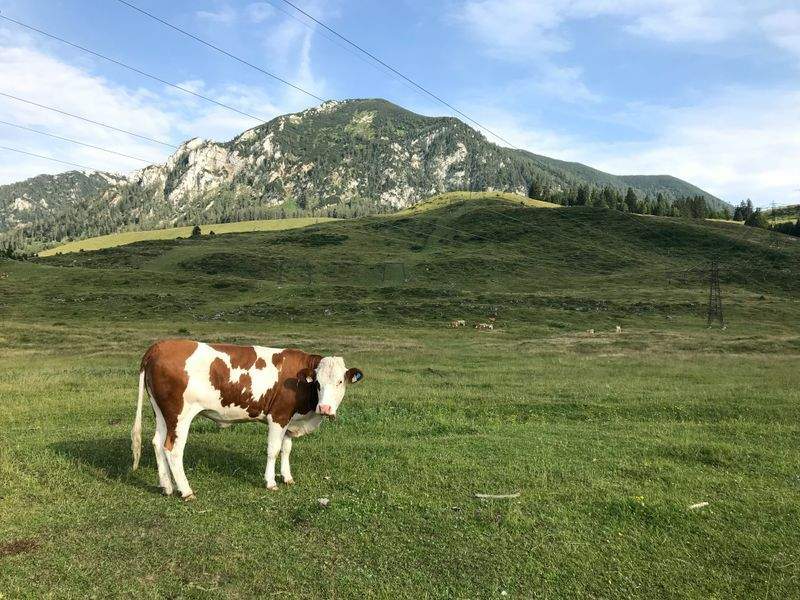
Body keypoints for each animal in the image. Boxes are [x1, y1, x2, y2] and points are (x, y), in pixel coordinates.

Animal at [131, 339, 364, 501]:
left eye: (340, 382)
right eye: (317, 383)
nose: (325, 408)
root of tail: (160, 346)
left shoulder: (290, 420)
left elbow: (286, 449)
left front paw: (287, 477)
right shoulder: (278, 416)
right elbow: (273, 450)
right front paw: (270, 482)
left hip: (162, 413)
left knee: (157, 443)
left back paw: (167, 487)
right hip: (180, 414)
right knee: (173, 449)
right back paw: (185, 491)